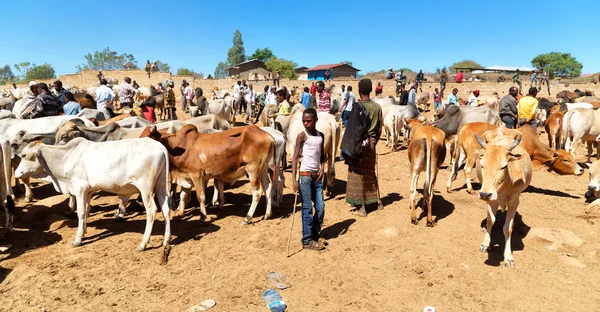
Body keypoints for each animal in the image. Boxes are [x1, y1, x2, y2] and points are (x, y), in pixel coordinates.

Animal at [14, 138, 172, 250]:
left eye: (24, 155)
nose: (16, 173)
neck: (66, 157)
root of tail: (159, 146)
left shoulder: (80, 189)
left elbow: (81, 212)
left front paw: (77, 240)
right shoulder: (88, 192)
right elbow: (86, 210)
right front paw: (83, 233)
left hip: (145, 188)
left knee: (152, 211)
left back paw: (143, 244)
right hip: (160, 185)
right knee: (166, 209)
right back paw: (166, 240)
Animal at [143, 124, 276, 224]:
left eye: (151, 138)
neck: (177, 148)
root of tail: (269, 136)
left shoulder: (197, 175)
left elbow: (200, 196)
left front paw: (203, 217)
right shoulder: (187, 177)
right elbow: (183, 196)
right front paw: (179, 213)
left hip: (253, 170)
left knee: (257, 193)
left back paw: (247, 218)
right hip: (263, 170)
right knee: (268, 188)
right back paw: (268, 214)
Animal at [476, 127, 532, 268]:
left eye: (504, 166)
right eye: (482, 164)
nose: (484, 194)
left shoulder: (514, 202)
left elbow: (508, 228)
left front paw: (508, 257)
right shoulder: (491, 201)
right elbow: (490, 221)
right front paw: (485, 244)